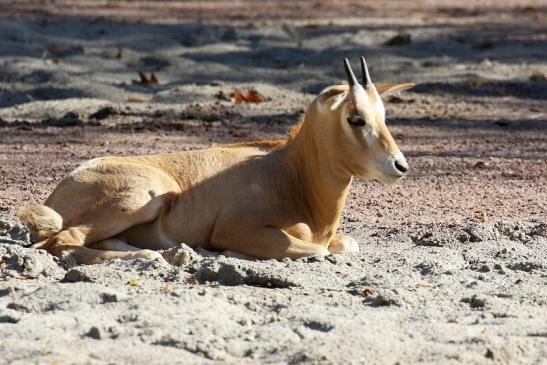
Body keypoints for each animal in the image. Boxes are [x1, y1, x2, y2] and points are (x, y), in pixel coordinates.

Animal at [20, 56, 416, 262]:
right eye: (354, 117)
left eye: (383, 115)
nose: (399, 166)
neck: (291, 173)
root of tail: (63, 189)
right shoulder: (235, 229)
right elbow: (317, 250)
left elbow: (347, 244)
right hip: (147, 197)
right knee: (61, 242)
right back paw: (146, 257)